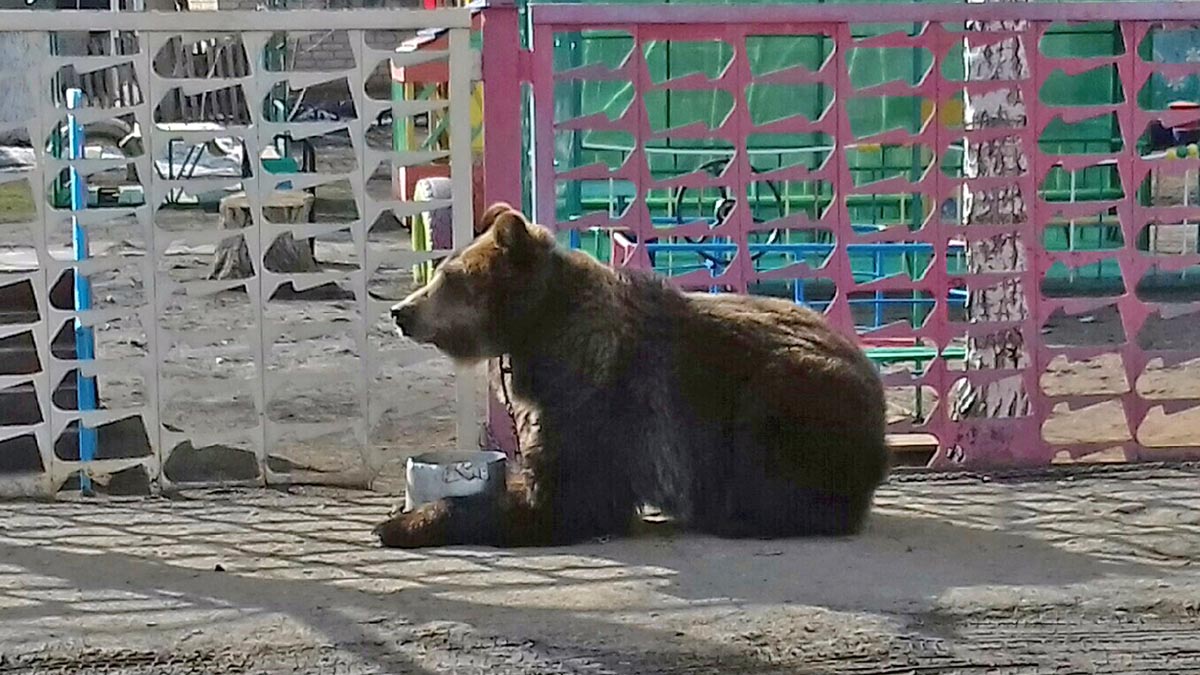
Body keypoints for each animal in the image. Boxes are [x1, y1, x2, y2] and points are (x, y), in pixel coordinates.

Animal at [376, 201, 892, 542]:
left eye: (450, 277)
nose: (402, 312)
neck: (537, 331)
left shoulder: (596, 401)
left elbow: (570, 496)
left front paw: (403, 522)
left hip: (788, 395)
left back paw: (740, 516)